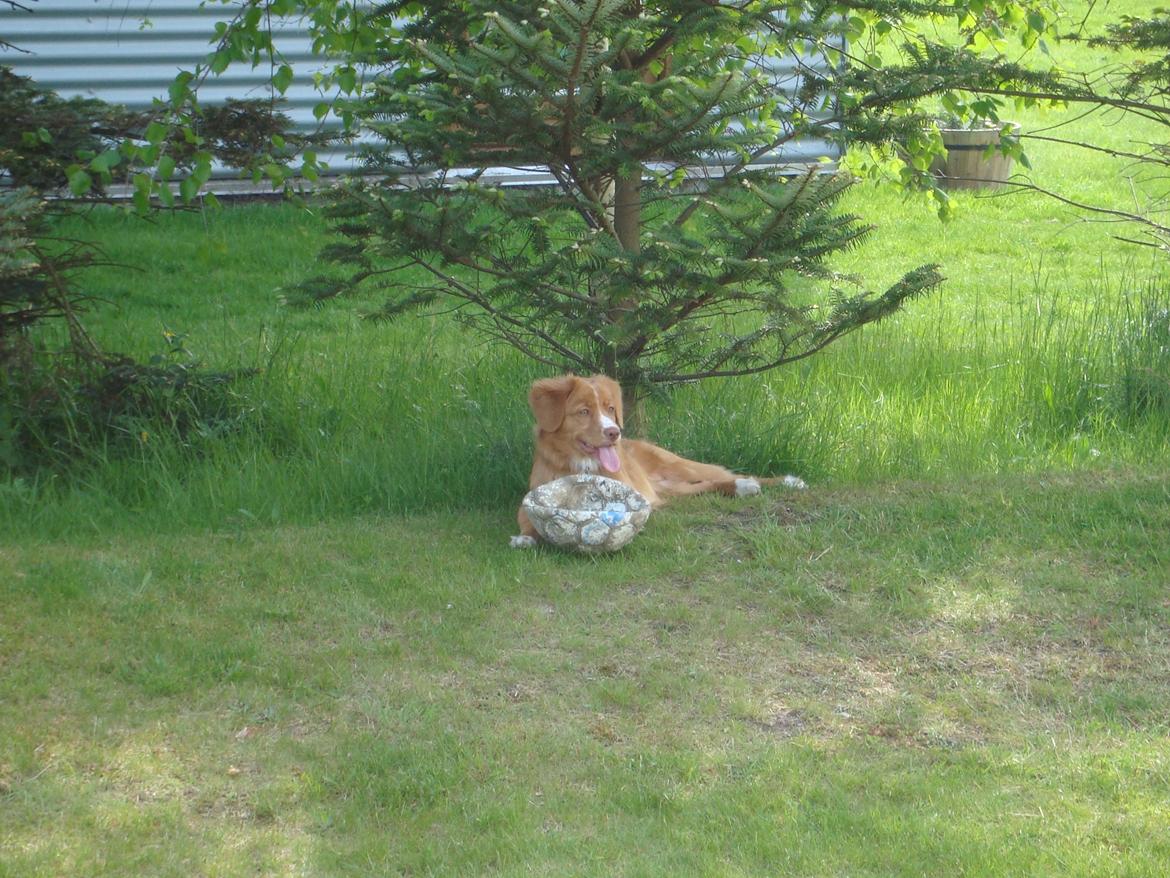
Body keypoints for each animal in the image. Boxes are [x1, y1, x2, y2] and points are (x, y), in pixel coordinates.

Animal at [512, 372, 804, 550]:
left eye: (610, 408)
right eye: (583, 411)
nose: (614, 433)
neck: (580, 466)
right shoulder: (533, 497)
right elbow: (527, 517)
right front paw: (525, 538)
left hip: (680, 467)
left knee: (721, 475)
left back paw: (776, 482)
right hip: (671, 490)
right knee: (708, 486)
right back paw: (743, 488)